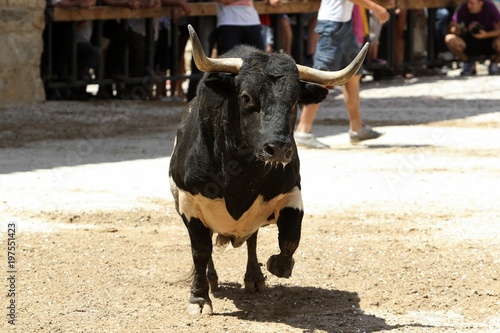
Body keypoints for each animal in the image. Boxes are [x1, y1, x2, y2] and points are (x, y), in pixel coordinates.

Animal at [169, 24, 368, 314]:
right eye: (246, 97)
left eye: (294, 101)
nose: (280, 148)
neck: (240, 176)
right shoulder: (189, 203)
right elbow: (200, 251)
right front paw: (199, 298)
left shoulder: (291, 193)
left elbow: (290, 237)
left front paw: (277, 265)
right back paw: (212, 279)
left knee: (251, 239)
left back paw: (254, 277)